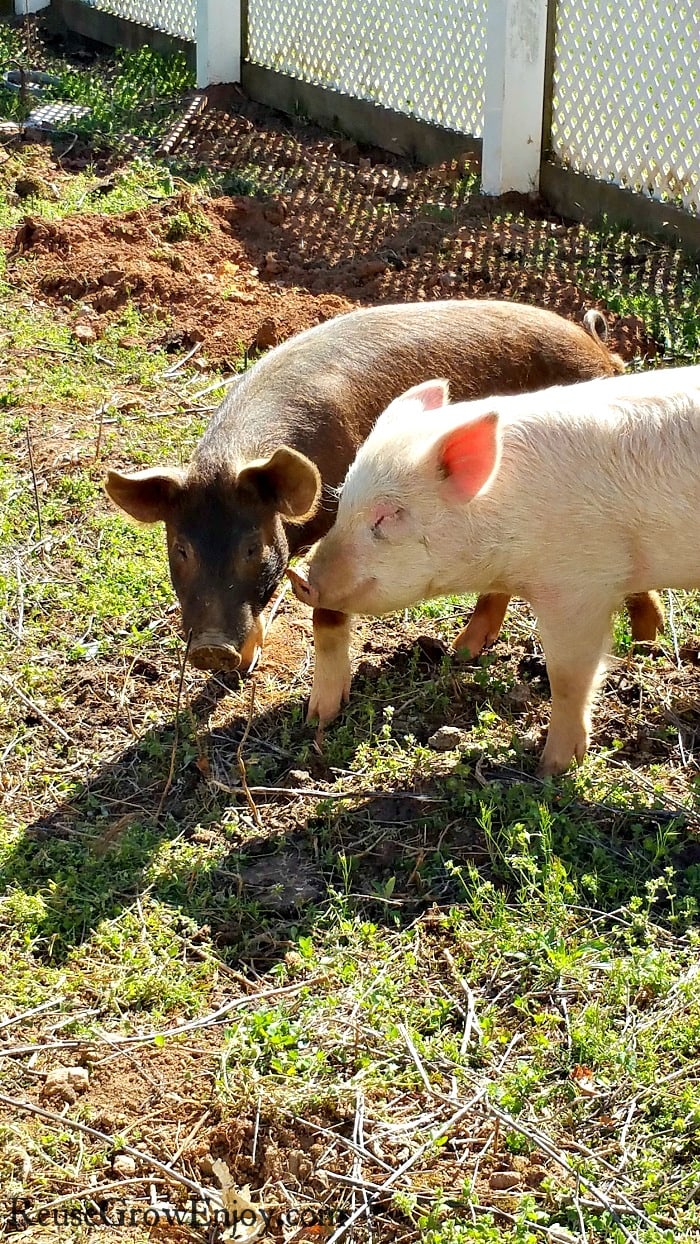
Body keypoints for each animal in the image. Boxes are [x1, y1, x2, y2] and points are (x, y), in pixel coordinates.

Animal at [105, 302, 661, 691]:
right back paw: (465, 652)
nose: (211, 650)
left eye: (252, 547)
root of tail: (598, 346)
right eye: (181, 549)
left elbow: (327, 608)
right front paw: (241, 669)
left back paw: (646, 643)